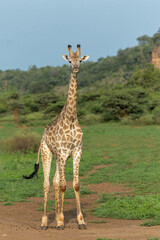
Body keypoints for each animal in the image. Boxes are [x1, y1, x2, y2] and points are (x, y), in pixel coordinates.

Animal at [23, 44, 89, 231]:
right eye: (69, 61)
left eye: (80, 60)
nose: (76, 68)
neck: (71, 118)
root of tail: (43, 134)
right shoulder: (61, 151)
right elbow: (63, 185)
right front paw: (60, 221)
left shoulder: (76, 151)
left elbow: (75, 184)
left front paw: (80, 221)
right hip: (47, 152)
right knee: (47, 183)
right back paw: (45, 221)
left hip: (62, 157)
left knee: (54, 181)